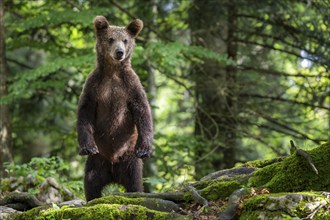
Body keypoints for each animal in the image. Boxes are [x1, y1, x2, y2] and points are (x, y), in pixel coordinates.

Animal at [77, 15, 153, 201]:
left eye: (125, 40)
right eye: (110, 39)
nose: (119, 52)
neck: (113, 72)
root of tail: (112, 171)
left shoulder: (130, 86)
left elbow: (142, 110)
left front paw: (145, 148)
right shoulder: (94, 86)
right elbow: (85, 113)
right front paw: (86, 146)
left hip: (129, 159)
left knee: (134, 181)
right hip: (97, 161)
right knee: (91, 181)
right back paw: (92, 198)